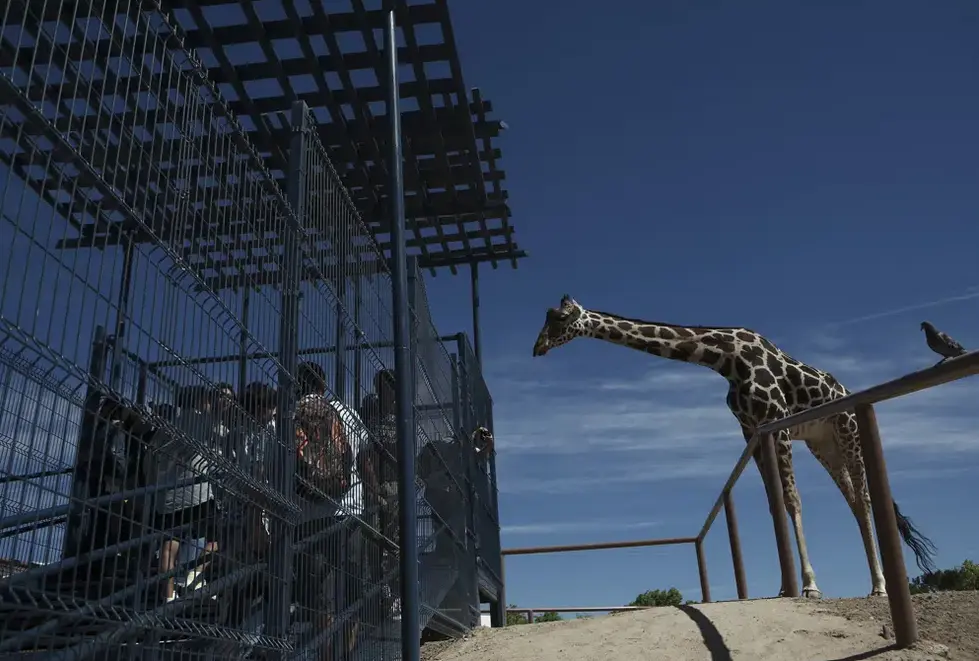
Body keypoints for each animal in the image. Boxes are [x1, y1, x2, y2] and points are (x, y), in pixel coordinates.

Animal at [532, 294, 936, 600]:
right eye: (547, 317)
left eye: (559, 318)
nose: (537, 348)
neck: (724, 357)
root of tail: (847, 393)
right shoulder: (752, 431)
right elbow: (774, 505)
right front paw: (783, 587)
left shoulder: (775, 422)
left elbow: (792, 500)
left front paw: (809, 586)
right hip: (823, 444)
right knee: (853, 501)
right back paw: (875, 583)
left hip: (847, 430)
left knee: (864, 499)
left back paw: (881, 587)